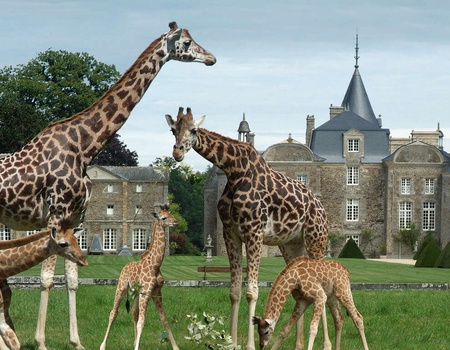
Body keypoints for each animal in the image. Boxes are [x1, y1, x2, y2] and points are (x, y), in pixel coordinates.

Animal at [167, 107, 328, 350]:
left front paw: (250, 345)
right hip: (292, 245)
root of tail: (322, 209)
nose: (177, 152)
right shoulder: (230, 233)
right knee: (301, 293)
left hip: (316, 241)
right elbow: (234, 291)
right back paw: (298, 345)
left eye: (194, 129)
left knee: (324, 288)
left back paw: (328, 344)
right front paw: (230, 342)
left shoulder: (254, 233)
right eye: (173, 129)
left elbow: (252, 291)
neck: (234, 172)